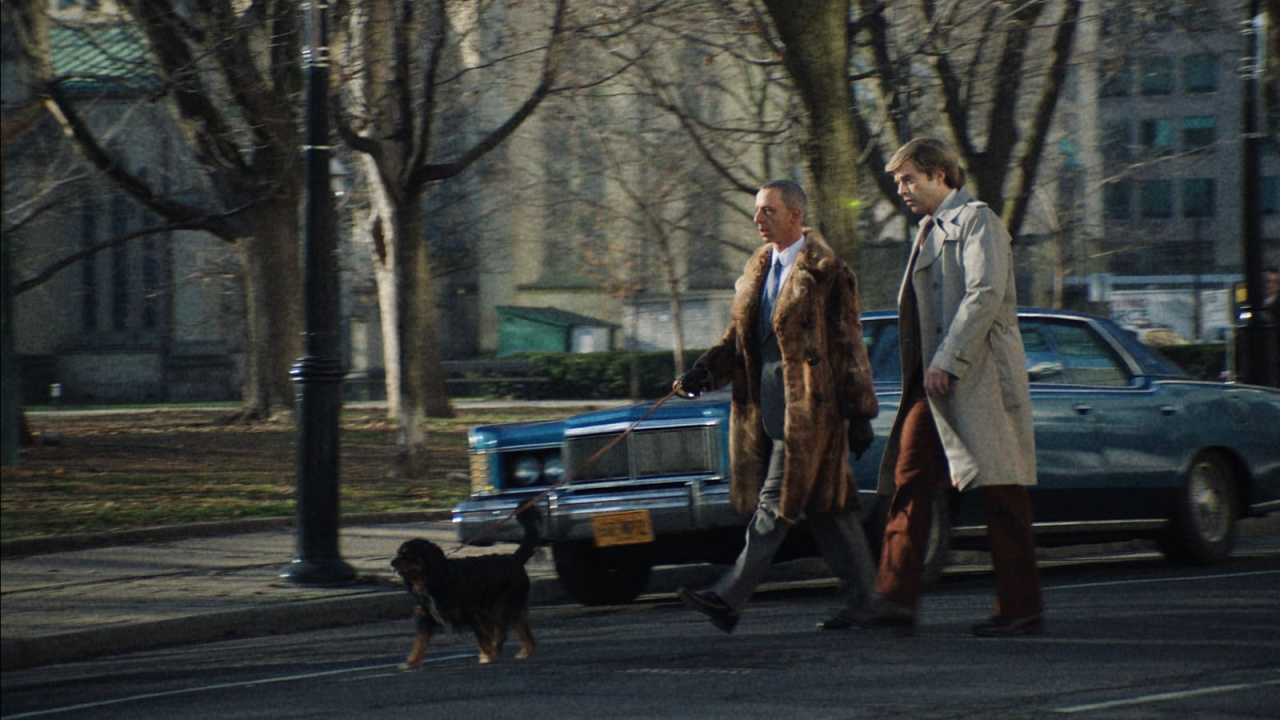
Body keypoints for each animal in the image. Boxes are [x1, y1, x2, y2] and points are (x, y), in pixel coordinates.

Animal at [389, 504, 540, 666]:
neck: (433, 578)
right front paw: (411, 662)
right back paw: (525, 652)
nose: (391, 562)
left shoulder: (474, 614)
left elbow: (482, 639)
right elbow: (419, 643)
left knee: (500, 633)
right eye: (398, 553)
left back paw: (497, 649)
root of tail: (515, 559)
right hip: (511, 609)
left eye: (408, 554)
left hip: (501, 606)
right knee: (525, 633)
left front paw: (488, 655)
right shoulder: (426, 618)